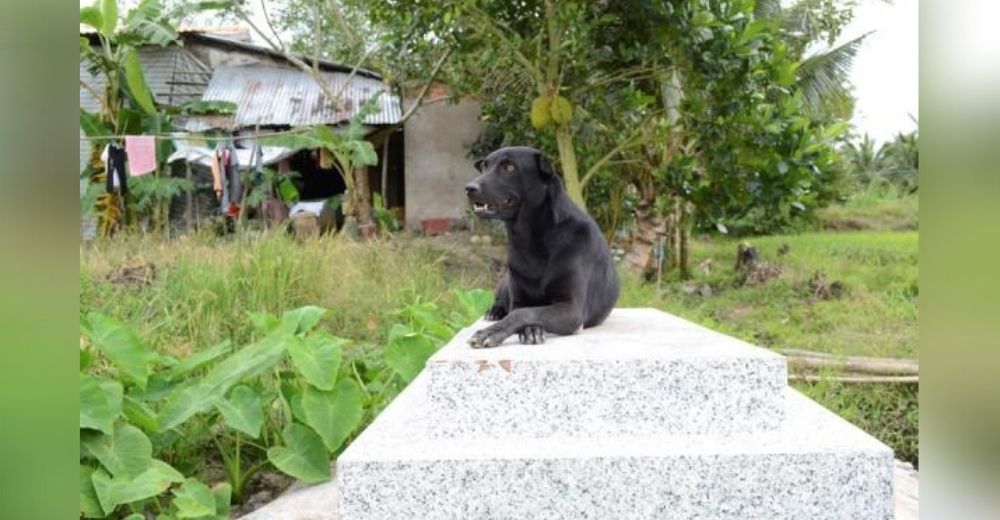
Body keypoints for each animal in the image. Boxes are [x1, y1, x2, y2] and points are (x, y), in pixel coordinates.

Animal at [462, 146, 616, 350]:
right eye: (484, 167)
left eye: (509, 167)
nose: (469, 188)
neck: (532, 241)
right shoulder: (519, 300)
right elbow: (519, 311)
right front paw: (526, 329)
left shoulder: (571, 309)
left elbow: (525, 313)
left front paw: (492, 333)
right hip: (505, 280)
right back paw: (494, 311)